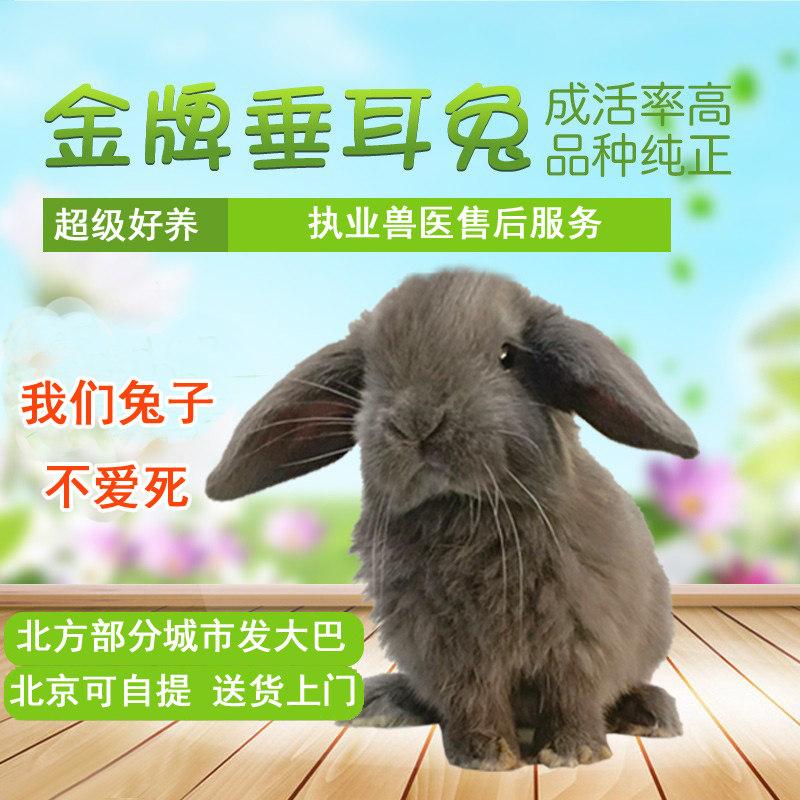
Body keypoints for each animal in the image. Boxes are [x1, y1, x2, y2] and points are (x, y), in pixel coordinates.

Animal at [206, 268, 695, 771]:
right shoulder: (448, 654)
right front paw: (486, 757)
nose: (415, 421)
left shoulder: (579, 641)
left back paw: (651, 715)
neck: (462, 509)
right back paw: (379, 704)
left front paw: (571, 754)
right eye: (368, 375)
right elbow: (473, 702)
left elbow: (571, 696)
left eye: (507, 356)